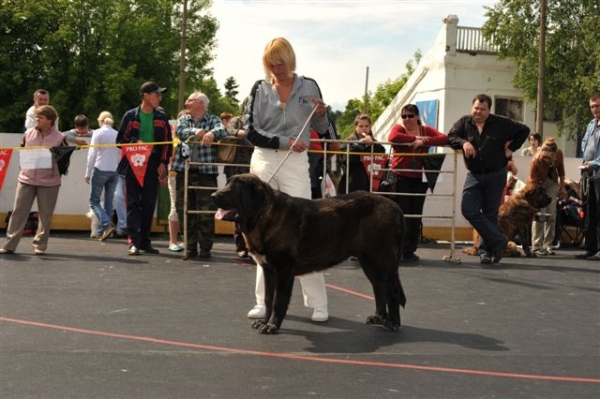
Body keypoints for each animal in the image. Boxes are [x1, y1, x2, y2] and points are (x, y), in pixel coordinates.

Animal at [212, 174, 408, 334]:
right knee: (379, 288)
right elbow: (268, 299)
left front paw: (272, 325)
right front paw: (264, 321)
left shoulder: (283, 270)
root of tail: (396, 207)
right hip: (369, 262)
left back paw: (393, 323)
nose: (213, 196)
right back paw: (379, 318)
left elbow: (278, 301)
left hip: (380, 260)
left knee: (391, 291)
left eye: (234, 190)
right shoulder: (268, 270)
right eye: (226, 184)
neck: (262, 215)